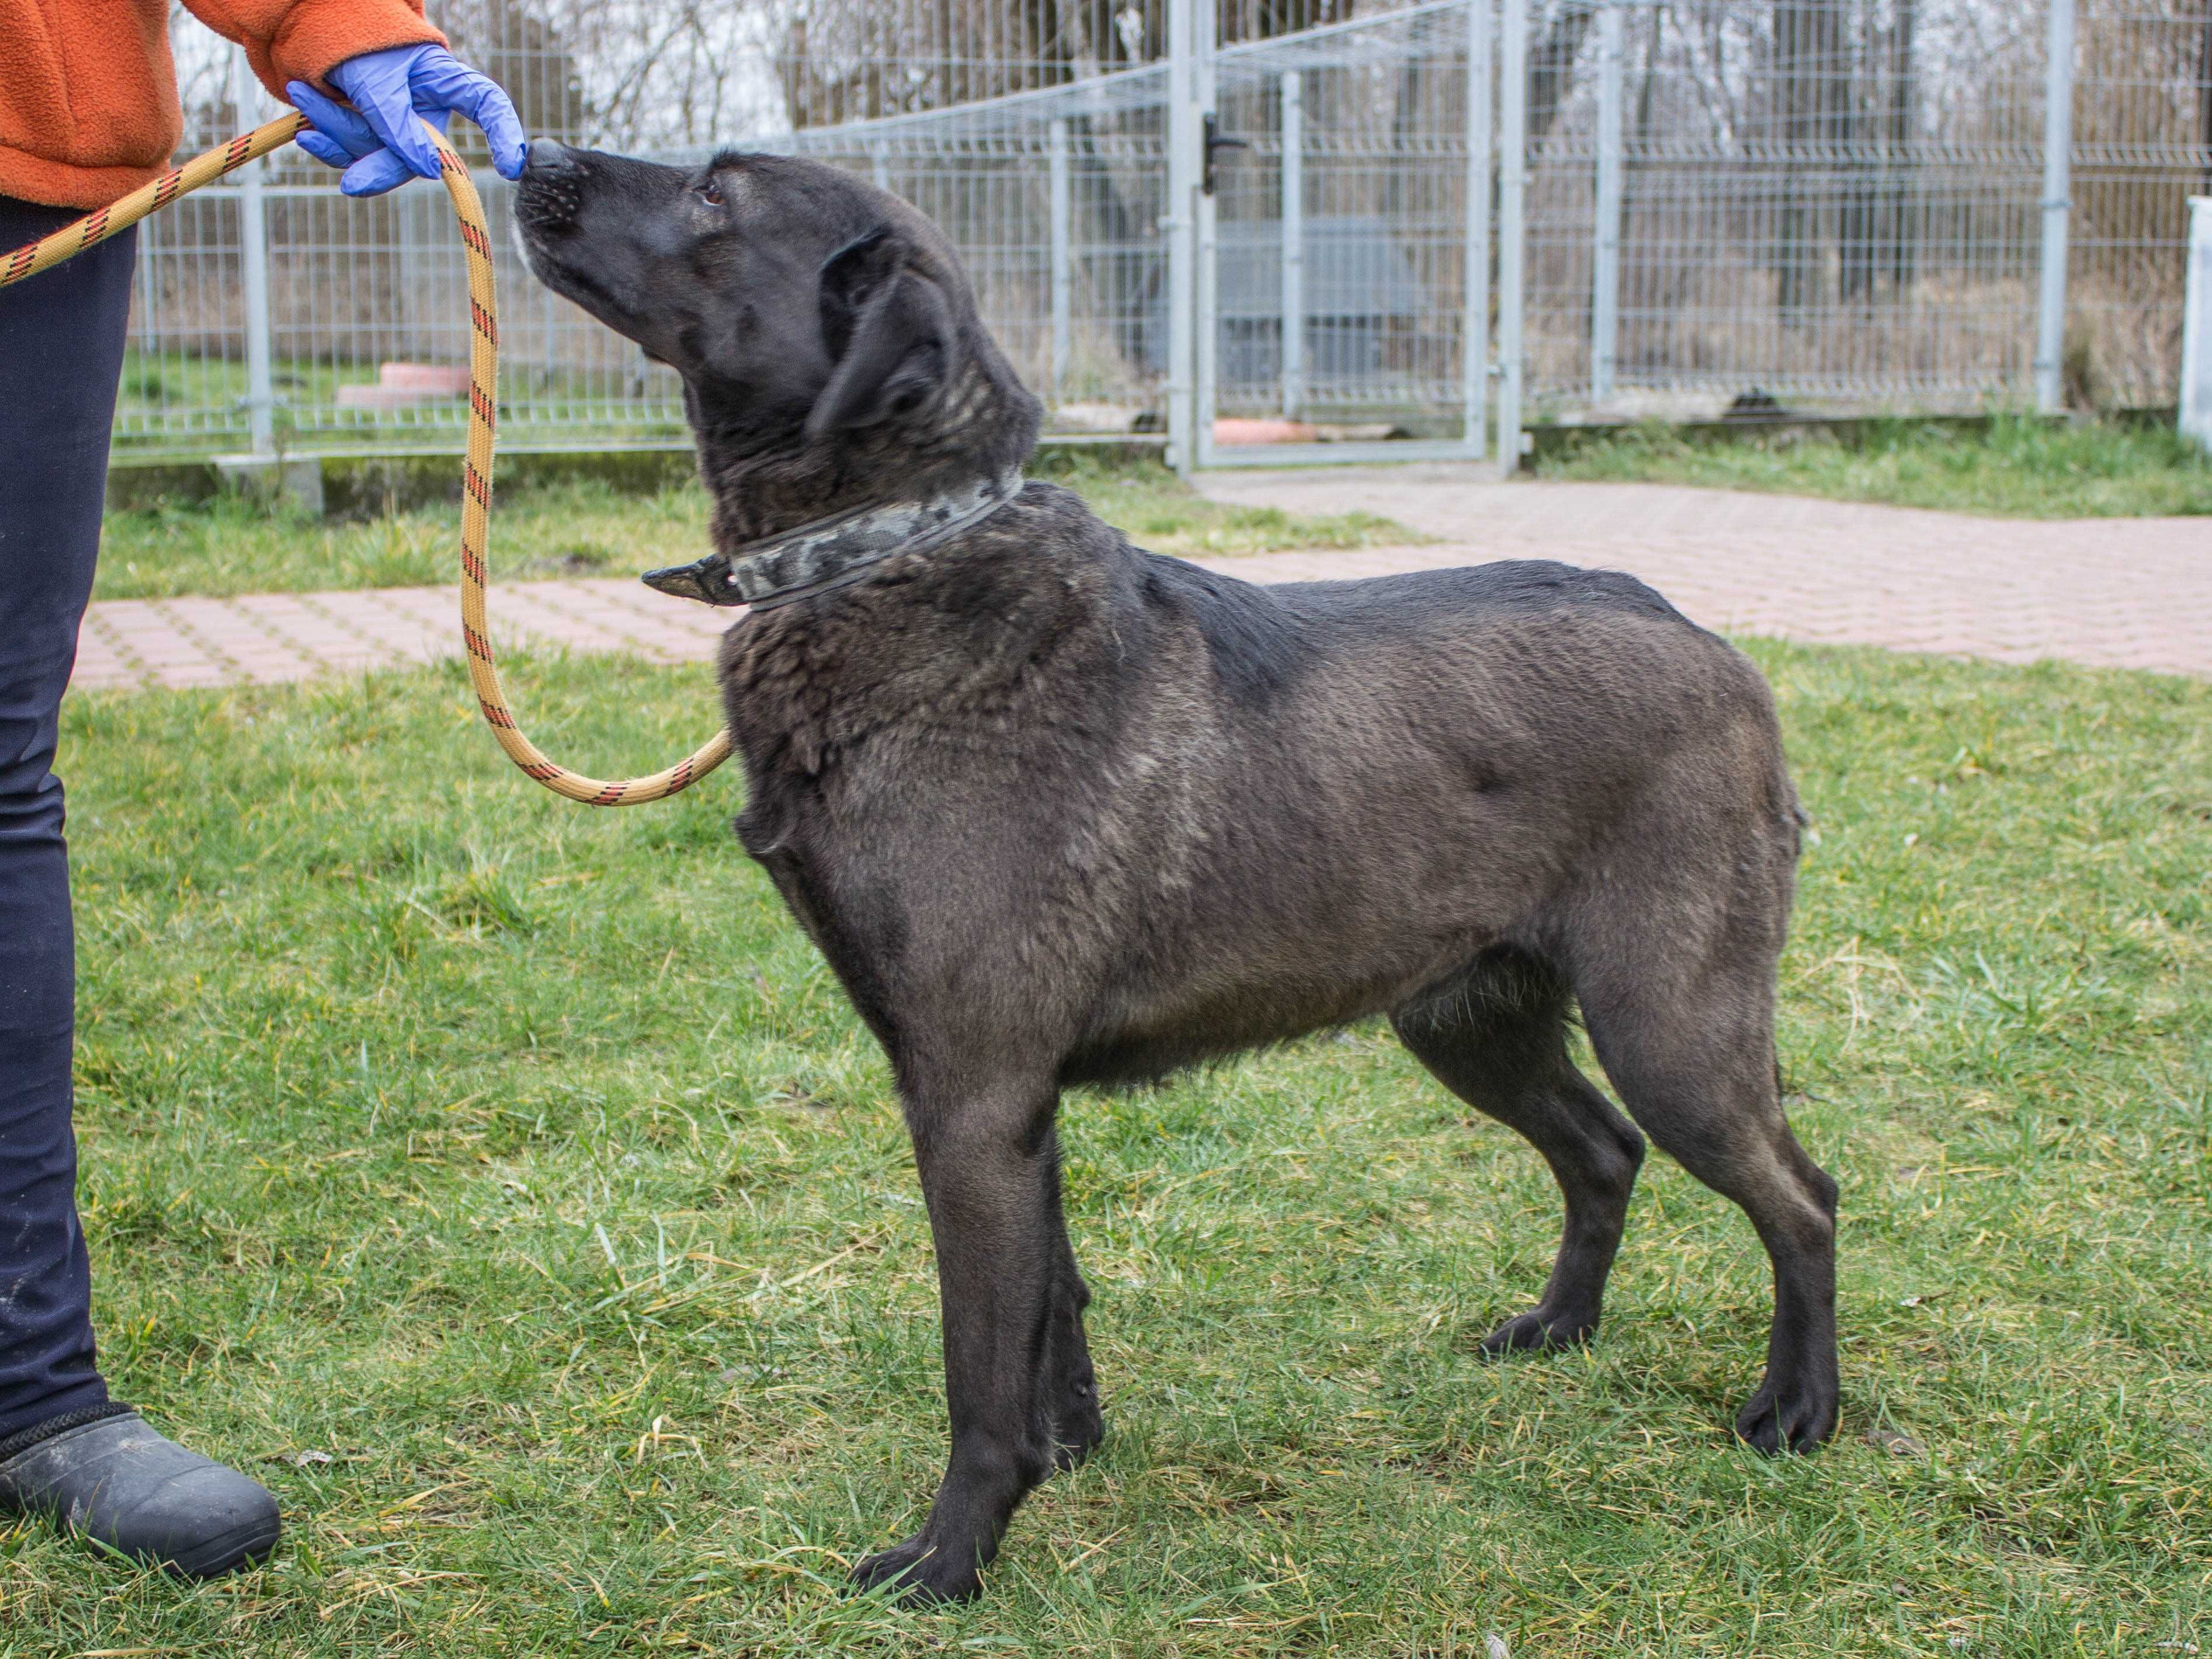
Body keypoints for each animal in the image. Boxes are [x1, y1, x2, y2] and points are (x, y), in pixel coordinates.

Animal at [509, 145, 1840, 1610]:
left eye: (717, 195)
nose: (535, 159)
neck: (895, 550)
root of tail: (1710, 643)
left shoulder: (971, 1098)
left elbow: (979, 1369)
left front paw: (952, 1556)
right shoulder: (1006, 1101)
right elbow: (1053, 1306)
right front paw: (1071, 1446)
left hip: (1671, 1028)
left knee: (1804, 1200)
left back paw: (1799, 1409)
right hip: (1467, 1020)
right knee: (1604, 1152)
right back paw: (1560, 1327)